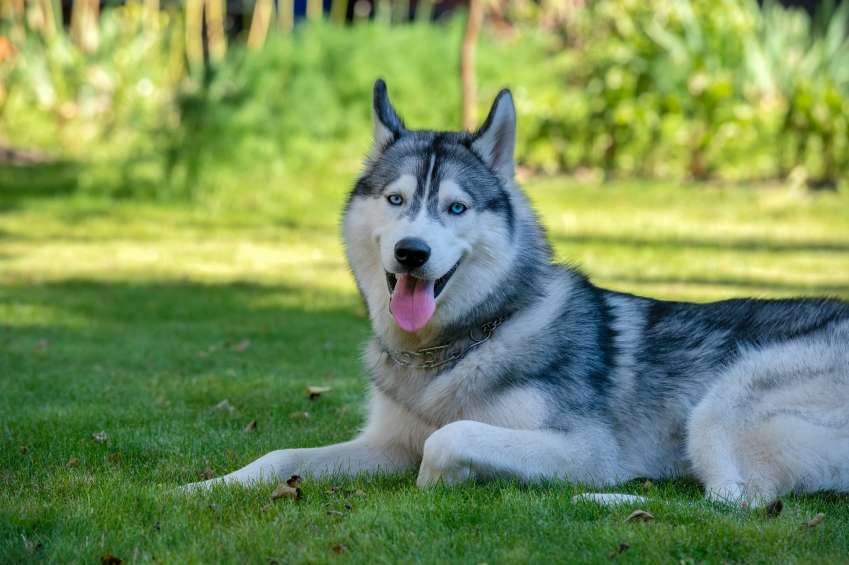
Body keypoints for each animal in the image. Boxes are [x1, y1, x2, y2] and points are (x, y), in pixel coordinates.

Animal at [190, 79, 848, 506]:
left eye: (456, 207)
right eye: (396, 200)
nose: (411, 253)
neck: (455, 348)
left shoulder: (585, 448)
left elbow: (448, 440)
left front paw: (445, 483)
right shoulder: (387, 441)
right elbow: (281, 459)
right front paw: (203, 487)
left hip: (719, 408)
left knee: (736, 504)